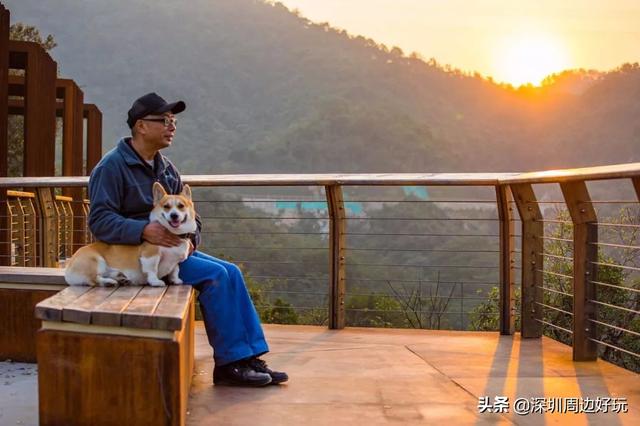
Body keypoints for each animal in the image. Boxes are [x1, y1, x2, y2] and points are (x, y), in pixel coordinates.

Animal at [64, 181, 196, 288]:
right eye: (166, 207)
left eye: (181, 206)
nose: (174, 215)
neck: (173, 233)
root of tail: (68, 269)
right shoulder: (150, 256)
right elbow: (152, 270)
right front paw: (155, 282)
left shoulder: (175, 262)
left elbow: (175, 270)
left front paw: (176, 280)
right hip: (96, 261)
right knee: (93, 280)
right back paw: (109, 282)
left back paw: (120, 278)